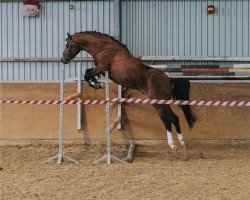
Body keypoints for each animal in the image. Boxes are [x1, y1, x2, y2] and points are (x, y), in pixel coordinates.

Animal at [61, 31, 196, 149]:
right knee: (175, 118)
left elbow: (87, 73)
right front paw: (97, 84)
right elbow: (87, 73)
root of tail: (168, 79)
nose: (63, 59)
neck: (104, 48)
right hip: (165, 103)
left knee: (167, 120)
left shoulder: (101, 68)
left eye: (68, 45)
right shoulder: (100, 70)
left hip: (158, 103)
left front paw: (96, 84)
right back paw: (182, 142)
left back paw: (172, 144)